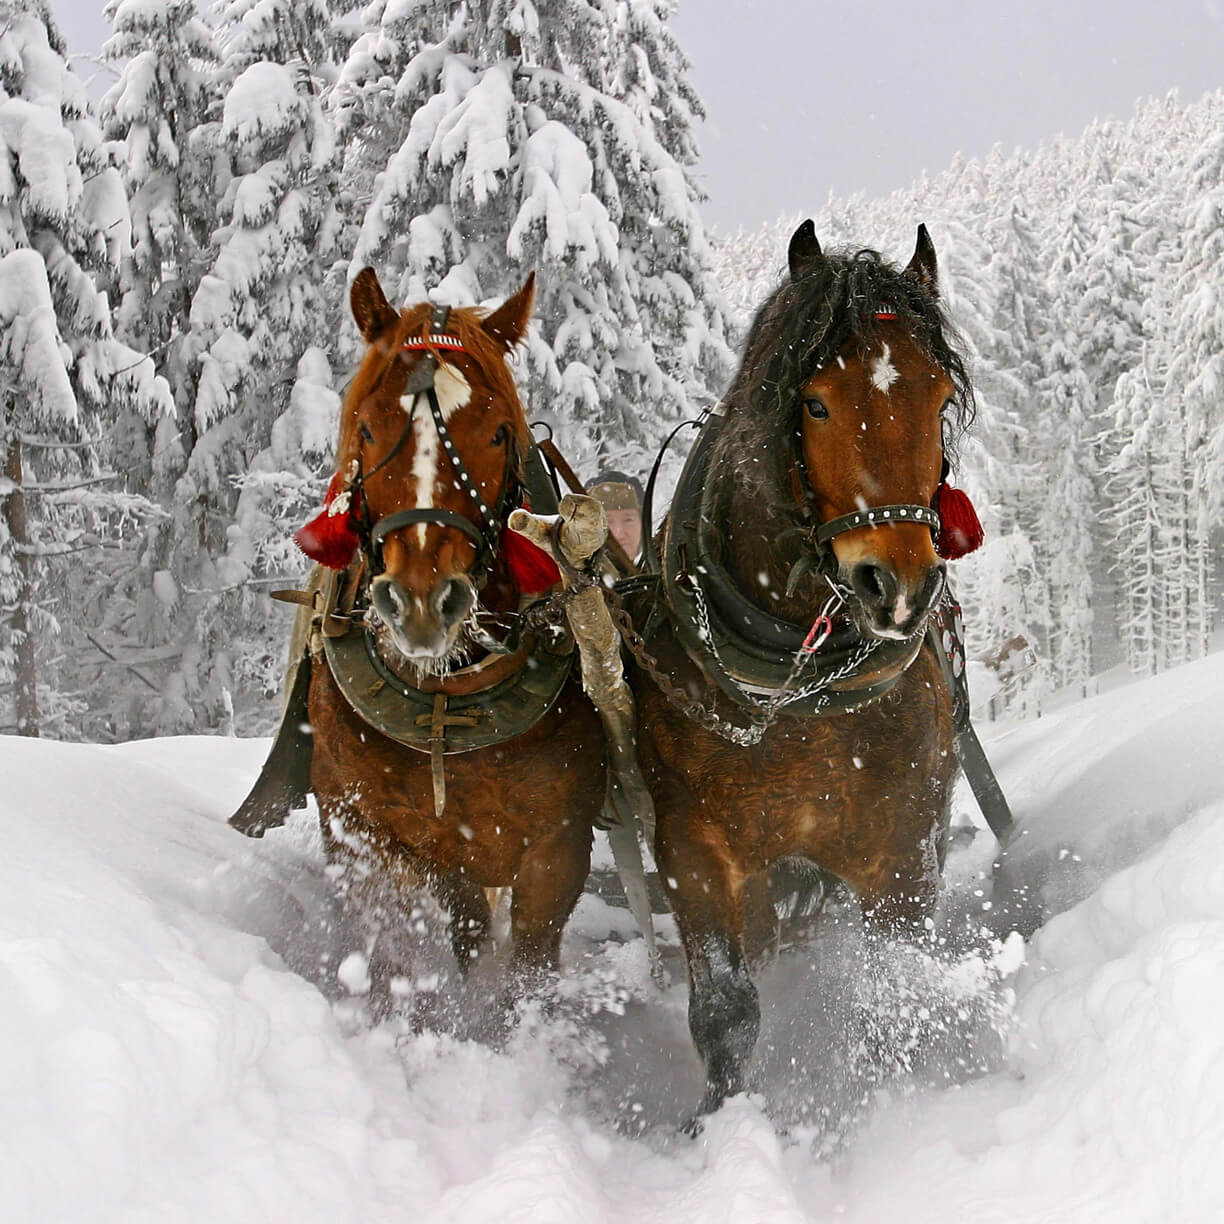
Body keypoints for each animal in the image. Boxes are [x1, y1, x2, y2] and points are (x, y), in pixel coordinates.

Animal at [234, 268, 605, 1012]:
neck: (447, 699)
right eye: (368, 426)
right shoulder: (363, 833)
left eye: (498, 433)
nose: (423, 603)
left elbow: (529, 973)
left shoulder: (557, 849)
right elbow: (390, 957)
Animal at [632, 222, 978, 1117]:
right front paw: (717, 1126)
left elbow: (894, 991)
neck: (796, 692)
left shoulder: (902, 851)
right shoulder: (692, 851)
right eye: (816, 403)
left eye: (938, 401)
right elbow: (725, 1012)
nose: (898, 586)